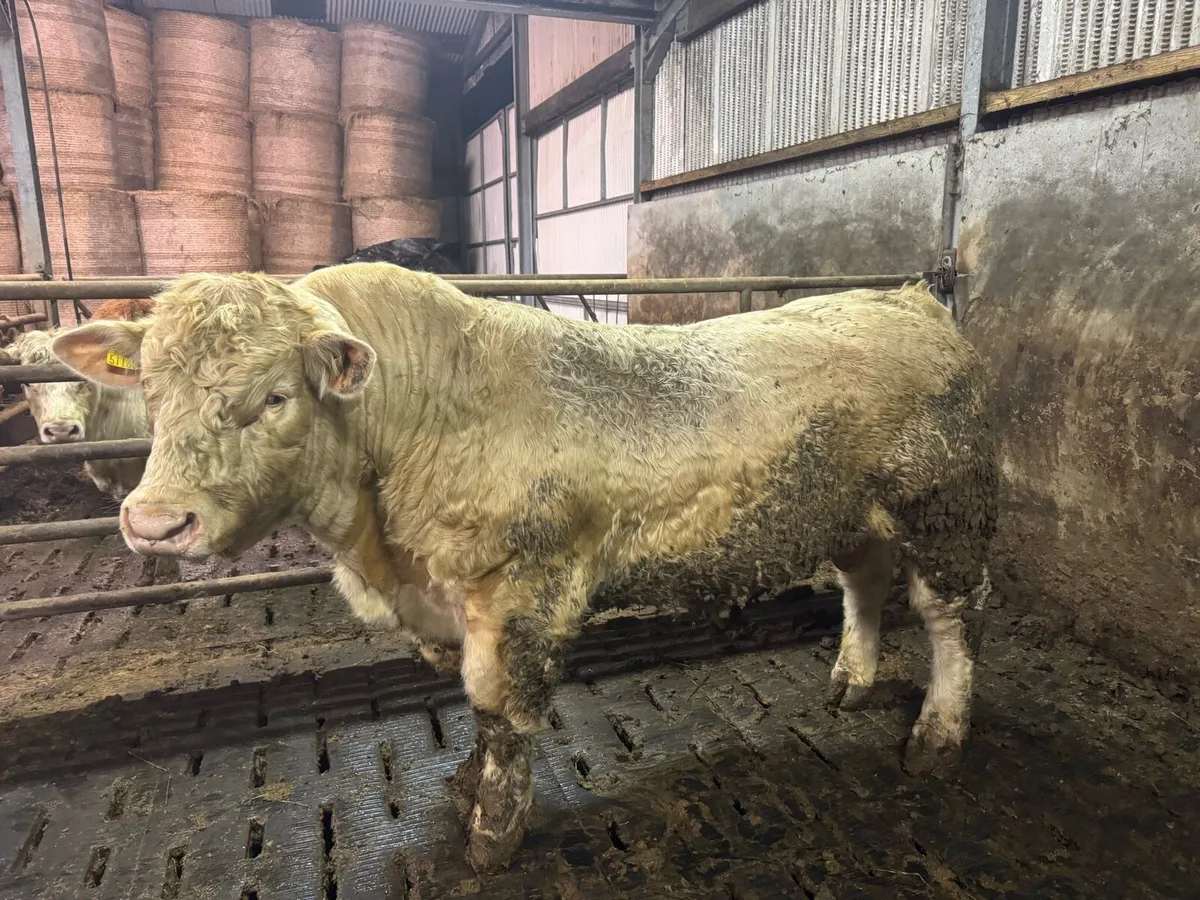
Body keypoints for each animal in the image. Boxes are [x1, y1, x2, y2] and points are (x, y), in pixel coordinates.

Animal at [52, 264, 997, 873]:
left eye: (275, 396)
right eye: (150, 390)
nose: (154, 522)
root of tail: (909, 299)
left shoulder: (521, 589)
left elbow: (501, 708)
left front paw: (492, 829)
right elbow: (472, 708)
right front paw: (466, 783)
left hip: (945, 507)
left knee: (950, 617)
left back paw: (938, 735)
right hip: (849, 511)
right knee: (865, 581)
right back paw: (852, 678)